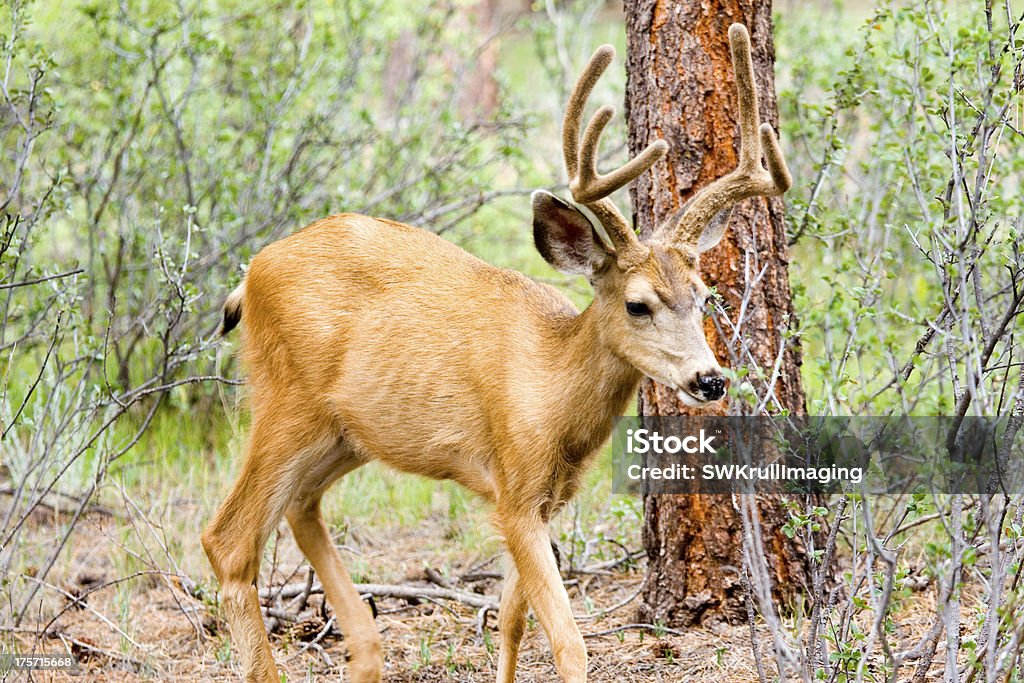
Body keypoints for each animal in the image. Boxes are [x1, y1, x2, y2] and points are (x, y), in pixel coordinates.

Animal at [201, 22, 790, 683]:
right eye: (638, 304)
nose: (710, 379)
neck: (555, 392)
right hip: (286, 402)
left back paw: (367, 651)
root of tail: (249, 275)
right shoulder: (514, 486)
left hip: (347, 433)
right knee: (229, 541)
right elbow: (567, 639)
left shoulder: (545, 498)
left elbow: (511, 622)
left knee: (302, 506)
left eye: (704, 295)